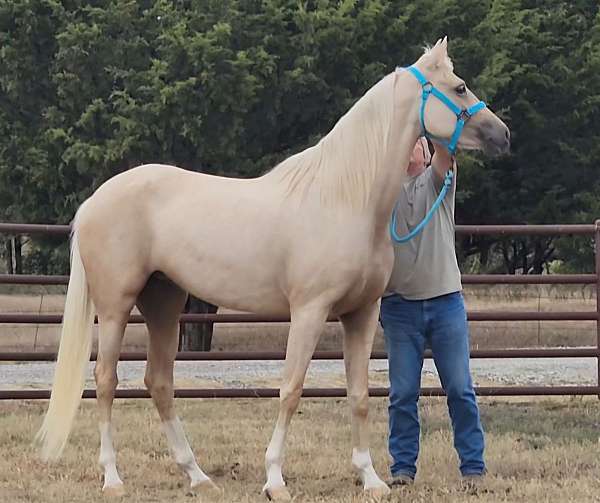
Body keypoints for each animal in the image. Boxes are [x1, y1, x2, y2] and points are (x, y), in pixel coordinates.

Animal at [35, 38, 508, 500]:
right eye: (460, 87)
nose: (502, 135)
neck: (345, 199)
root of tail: (94, 201)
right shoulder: (309, 311)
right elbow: (291, 389)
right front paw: (275, 479)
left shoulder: (362, 313)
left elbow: (358, 395)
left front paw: (371, 478)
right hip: (115, 306)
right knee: (105, 380)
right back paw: (113, 477)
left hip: (164, 301)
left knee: (160, 381)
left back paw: (197, 476)